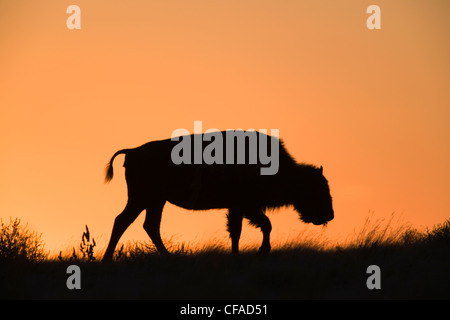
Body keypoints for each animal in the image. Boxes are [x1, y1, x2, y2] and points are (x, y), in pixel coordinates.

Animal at [103, 130, 334, 260]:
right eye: (316, 189)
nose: (330, 215)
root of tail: (133, 151)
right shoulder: (246, 206)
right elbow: (264, 225)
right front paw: (261, 251)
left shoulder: (238, 208)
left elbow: (237, 231)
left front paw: (237, 254)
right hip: (142, 199)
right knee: (123, 221)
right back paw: (108, 259)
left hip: (155, 201)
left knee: (148, 225)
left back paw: (167, 257)